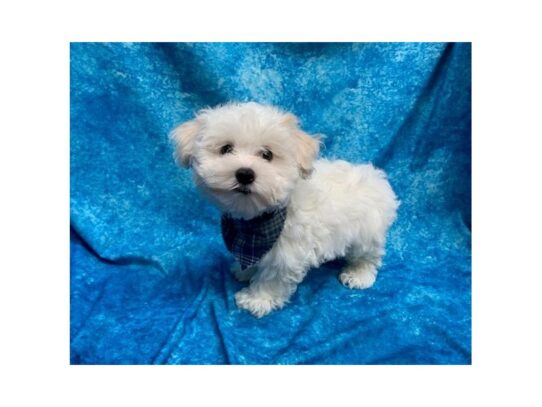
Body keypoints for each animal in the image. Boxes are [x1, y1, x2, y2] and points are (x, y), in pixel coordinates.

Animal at [173, 102, 400, 318]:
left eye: (267, 154)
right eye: (226, 149)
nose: (245, 174)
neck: (258, 221)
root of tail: (376, 177)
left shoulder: (286, 254)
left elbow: (272, 278)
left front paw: (257, 299)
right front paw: (244, 271)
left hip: (367, 233)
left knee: (369, 256)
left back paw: (358, 274)